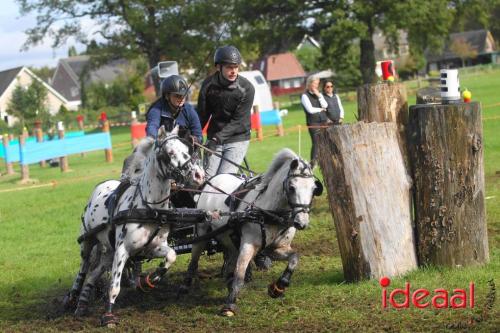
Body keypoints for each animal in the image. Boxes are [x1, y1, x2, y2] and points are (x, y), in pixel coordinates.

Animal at [63, 126, 204, 326]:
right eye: (169, 153)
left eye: (188, 150)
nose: (199, 176)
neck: (149, 207)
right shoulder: (123, 251)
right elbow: (114, 287)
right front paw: (108, 315)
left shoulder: (151, 248)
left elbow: (171, 255)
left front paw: (151, 279)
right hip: (88, 242)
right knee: (84, 268)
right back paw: (73, 297)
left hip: (109, 251)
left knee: (93, 273)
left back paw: (82, 304)